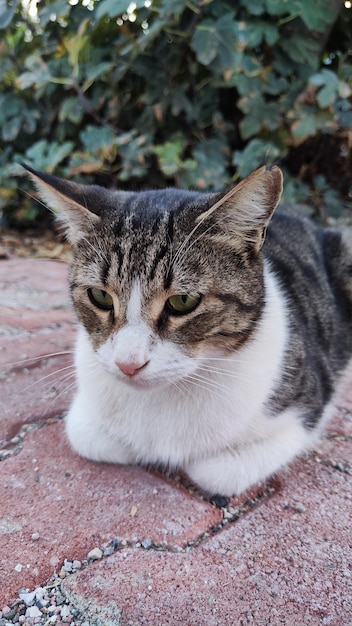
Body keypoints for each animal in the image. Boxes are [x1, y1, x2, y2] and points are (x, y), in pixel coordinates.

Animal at [24, 163, 352, 494]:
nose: (128, 364)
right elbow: (90, 437)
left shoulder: (302, 414)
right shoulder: (86, 419)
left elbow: (215, 472)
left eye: (183, 301)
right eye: (100, 296)